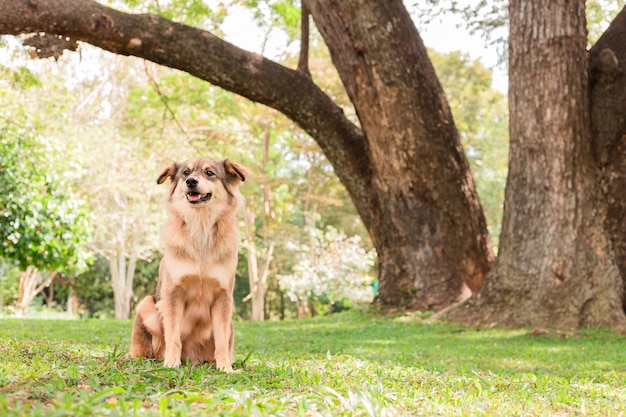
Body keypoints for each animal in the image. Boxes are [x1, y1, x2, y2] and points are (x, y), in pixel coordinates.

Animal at [130, 156, 246, 370]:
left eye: (209, 173)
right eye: (185, 173)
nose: (191, 181)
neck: (200, 227)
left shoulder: (223, 297)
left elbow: (221, 340)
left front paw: (225, 368)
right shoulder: (173, 293)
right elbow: (173, 336)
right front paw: (171, 363)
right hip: (146, 305)